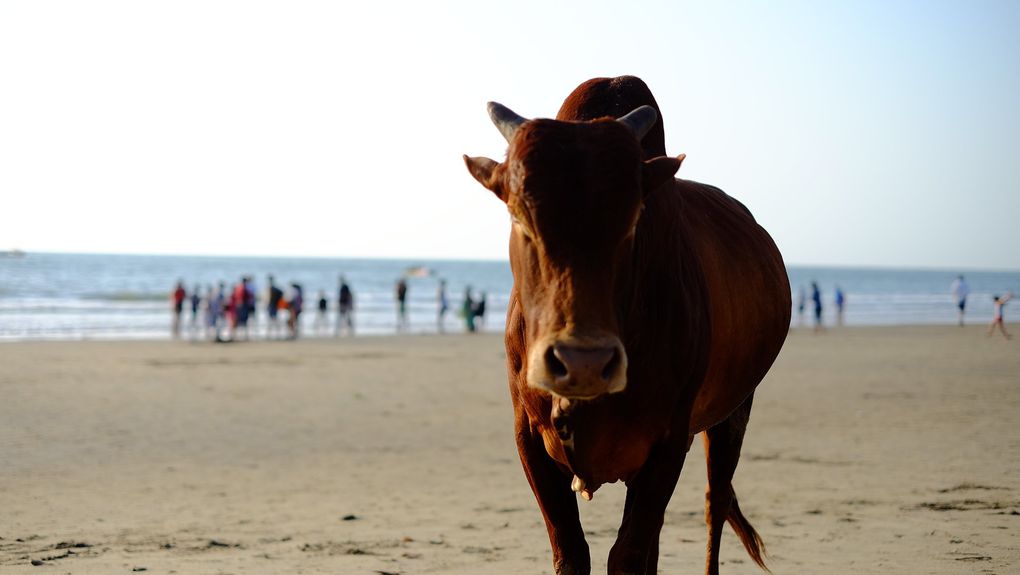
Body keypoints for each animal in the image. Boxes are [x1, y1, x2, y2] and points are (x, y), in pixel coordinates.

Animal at [463, 77, 787, 575]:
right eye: (519, 215)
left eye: (635, 217)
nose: (583, 363)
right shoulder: (528, 438)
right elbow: (572, 552)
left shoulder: (668, 440)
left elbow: (628, 554)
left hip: (733, 411)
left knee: (715, 504)